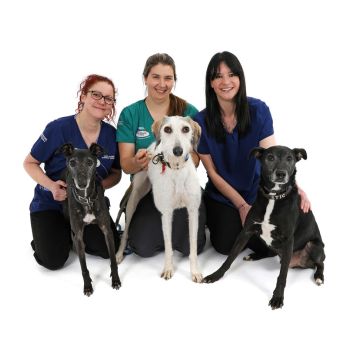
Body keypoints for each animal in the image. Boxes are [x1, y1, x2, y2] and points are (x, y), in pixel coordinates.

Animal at [58, 144, 121, 296]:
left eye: (90, 162)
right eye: (72, 162)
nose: (82, 184)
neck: (86, 199)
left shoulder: (107, 231)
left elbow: (113, 260)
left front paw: (115, 280)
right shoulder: (79, 235)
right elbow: (83, 266)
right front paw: (87, 286)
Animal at [116, 116, 204, 284]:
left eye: (186, 129)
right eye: (167, 129)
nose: (178, 151)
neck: (176, 169)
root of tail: (151, 147)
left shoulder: (193, 212)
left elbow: (193, 246)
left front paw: (195, 272)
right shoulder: (166, 214)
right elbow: (168, 247)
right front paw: (168, 269)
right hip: (133, 200)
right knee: (125, 231)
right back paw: (118, 254)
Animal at [202, 145, 326, 308]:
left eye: (290, 158)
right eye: (270, 157)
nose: (281, 174)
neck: (274, 197)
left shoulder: (288, 241)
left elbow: (282, 275)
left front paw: (278, 297)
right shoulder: (246, 232)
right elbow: (229, 258)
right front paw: (215, 275)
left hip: (315, 246)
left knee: (321, 263)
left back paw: (319, 277)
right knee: (270, 252)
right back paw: (253, 255)